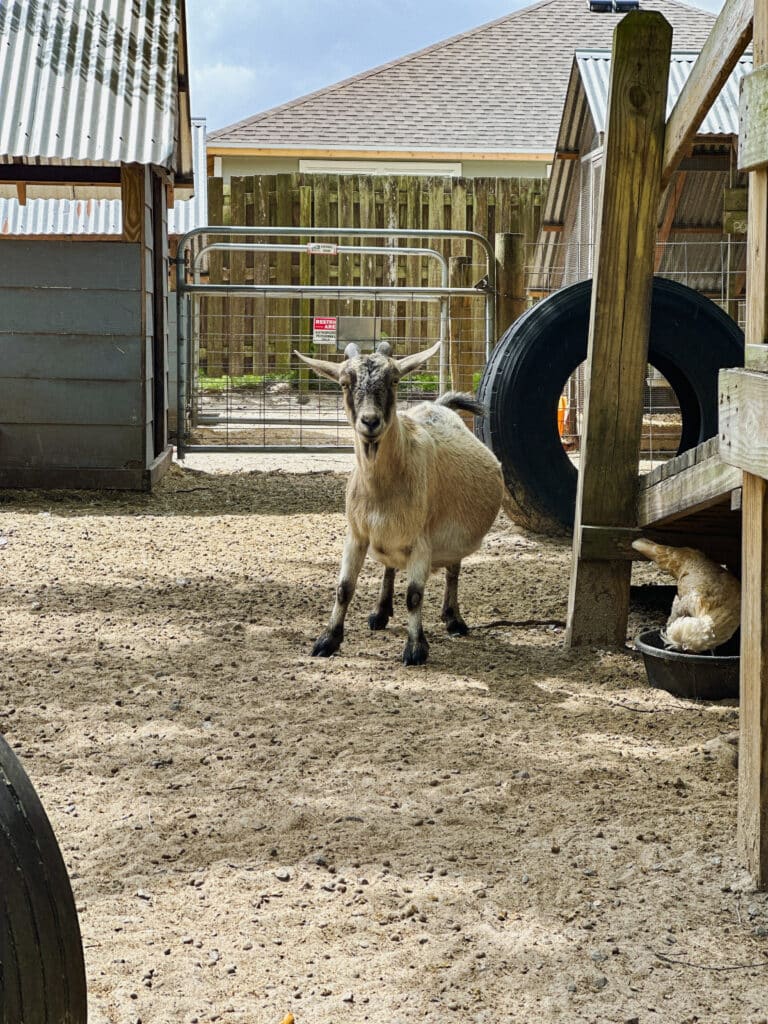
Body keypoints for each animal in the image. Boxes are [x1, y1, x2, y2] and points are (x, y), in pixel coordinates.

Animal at [294, 340, 504, 665]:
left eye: (394, 380)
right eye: (344, 383)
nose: (370, 421)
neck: (382, 492)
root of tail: (440, 405)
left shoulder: (422, 542)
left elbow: (414, 596)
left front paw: (416, 649)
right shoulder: (357, 534)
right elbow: (344, 589)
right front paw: (327, 641)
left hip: (454, 535)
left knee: (453, 570)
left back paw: (454, 620)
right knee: (390, 567)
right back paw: (380, 613)